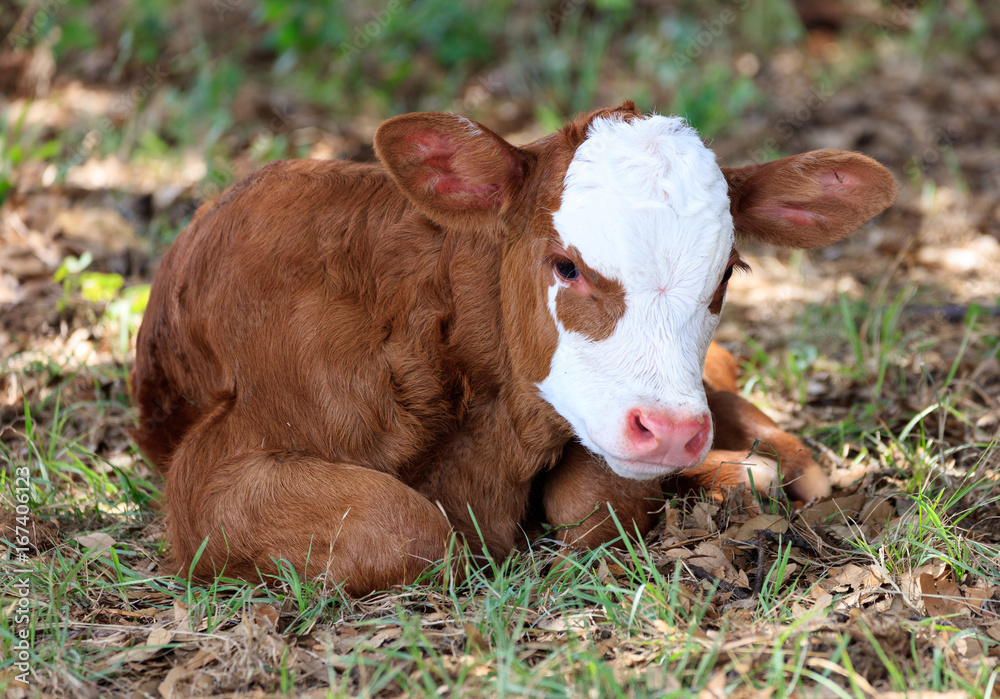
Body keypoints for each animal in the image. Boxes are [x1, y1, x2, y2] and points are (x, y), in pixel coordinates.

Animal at [131, 101, 896, 595]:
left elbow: (592, 501)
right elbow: (408, 526)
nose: (672, 431)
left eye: (728, 272)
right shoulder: (210, 477)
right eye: (566, 265)